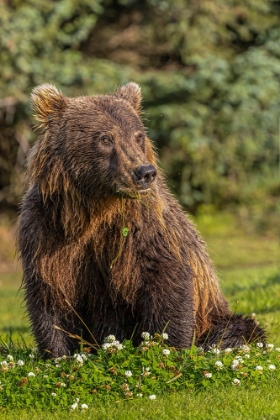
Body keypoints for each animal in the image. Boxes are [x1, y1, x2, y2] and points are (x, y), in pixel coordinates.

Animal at [17, 83, 264, 358]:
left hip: (215, 314)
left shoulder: (144, 228)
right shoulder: (47, 232)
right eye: (106, 138)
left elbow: (166, 278)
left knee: (237, 330)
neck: (95, 209)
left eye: (137, 136)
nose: (144, 172)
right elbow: (51, 294)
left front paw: (167, 345)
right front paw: (59, 353)